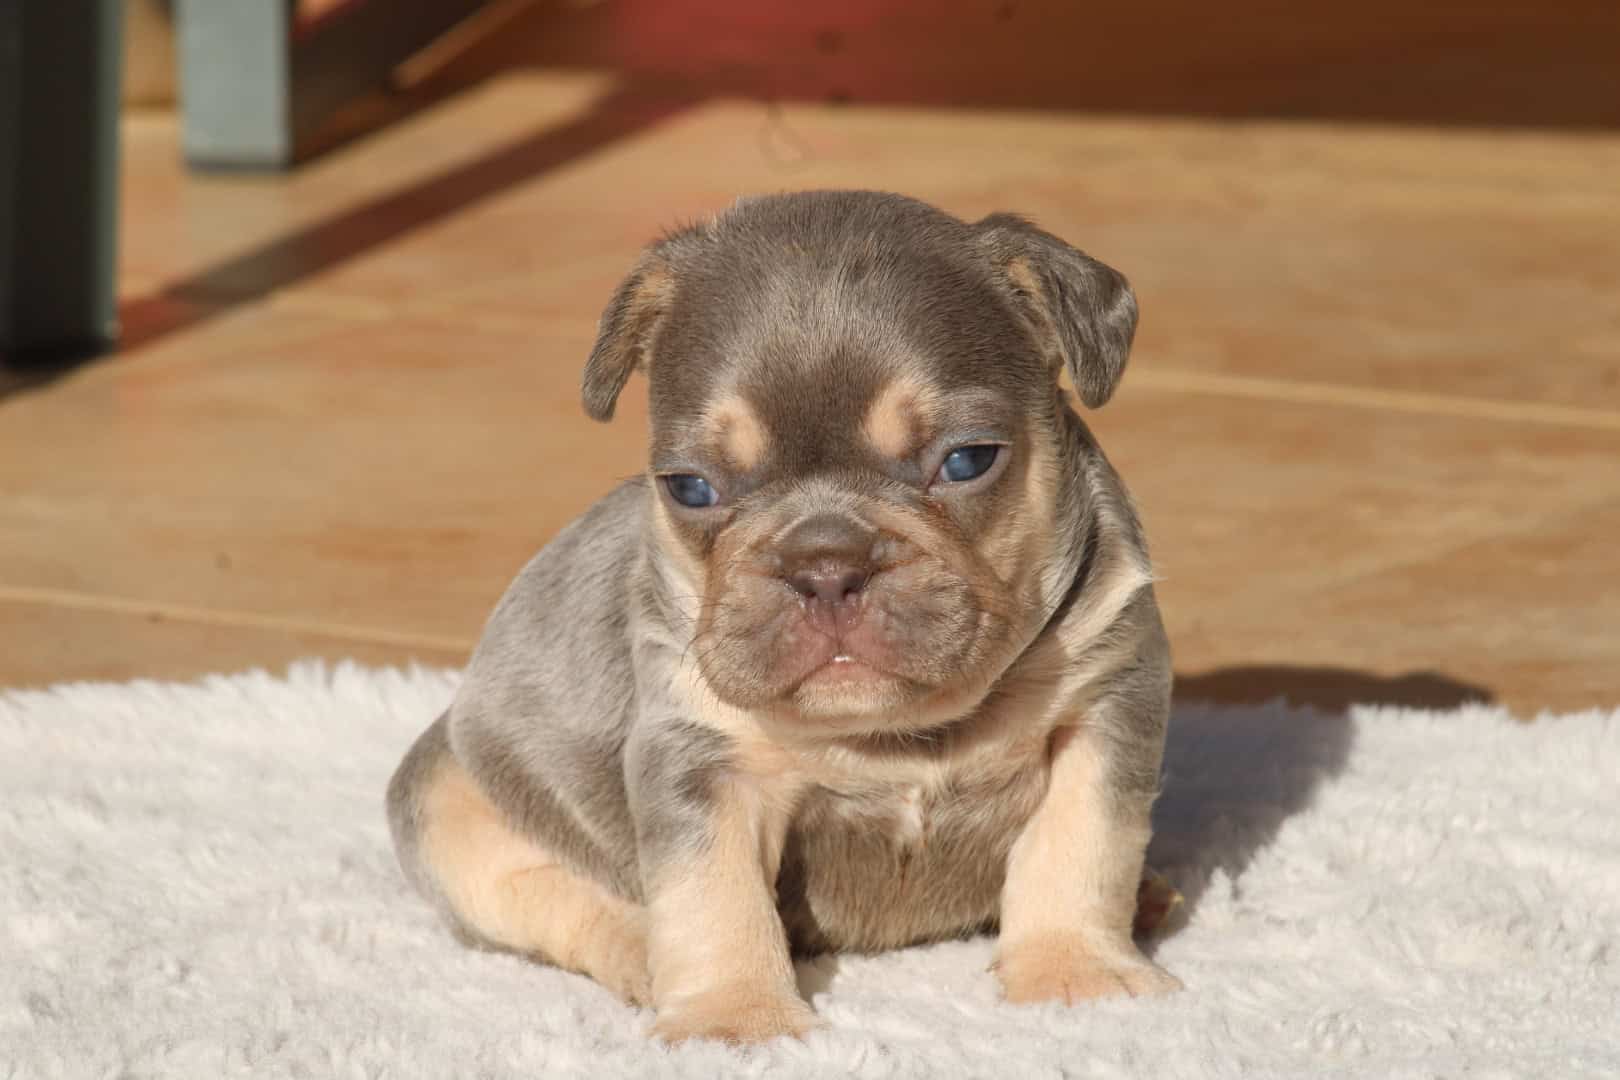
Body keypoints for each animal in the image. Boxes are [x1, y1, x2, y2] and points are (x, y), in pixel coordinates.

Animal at [387, 190, 1185, 1042]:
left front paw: (1077, 976)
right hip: (444, 802)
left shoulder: (1104, 704)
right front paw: (734, 1020)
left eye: (968, 460)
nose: (825, 566)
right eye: (688, 487)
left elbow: (1081, 845)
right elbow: (711, 897)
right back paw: (641, 955)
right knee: (554, 897)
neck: (898, 732)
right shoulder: (700, 759)